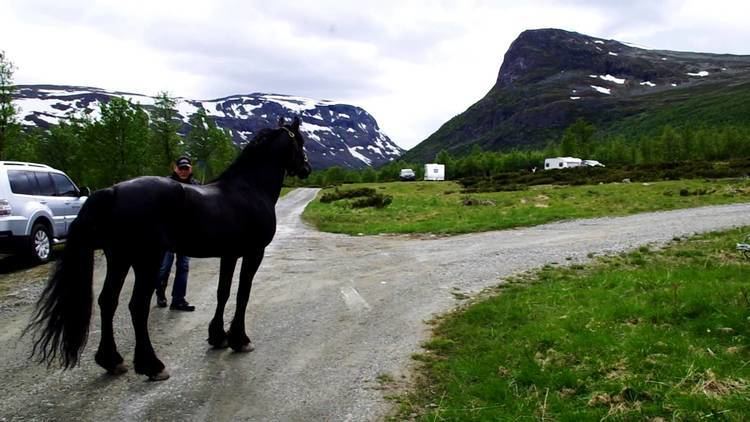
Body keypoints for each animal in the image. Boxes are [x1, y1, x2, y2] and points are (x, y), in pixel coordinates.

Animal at [24, 116, 312, 382]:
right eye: (300, 141)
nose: (307, 168)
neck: (249, 188)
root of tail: (112, 191)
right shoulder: (254, 253)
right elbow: (243, 294)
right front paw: (240, 340)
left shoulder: (229, 254)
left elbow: (223, 293)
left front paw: (218, 336)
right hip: (146, 260)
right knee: (137, 306)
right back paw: (151, 365)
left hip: (119, 258)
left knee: (108, 301)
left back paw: (112, 361)